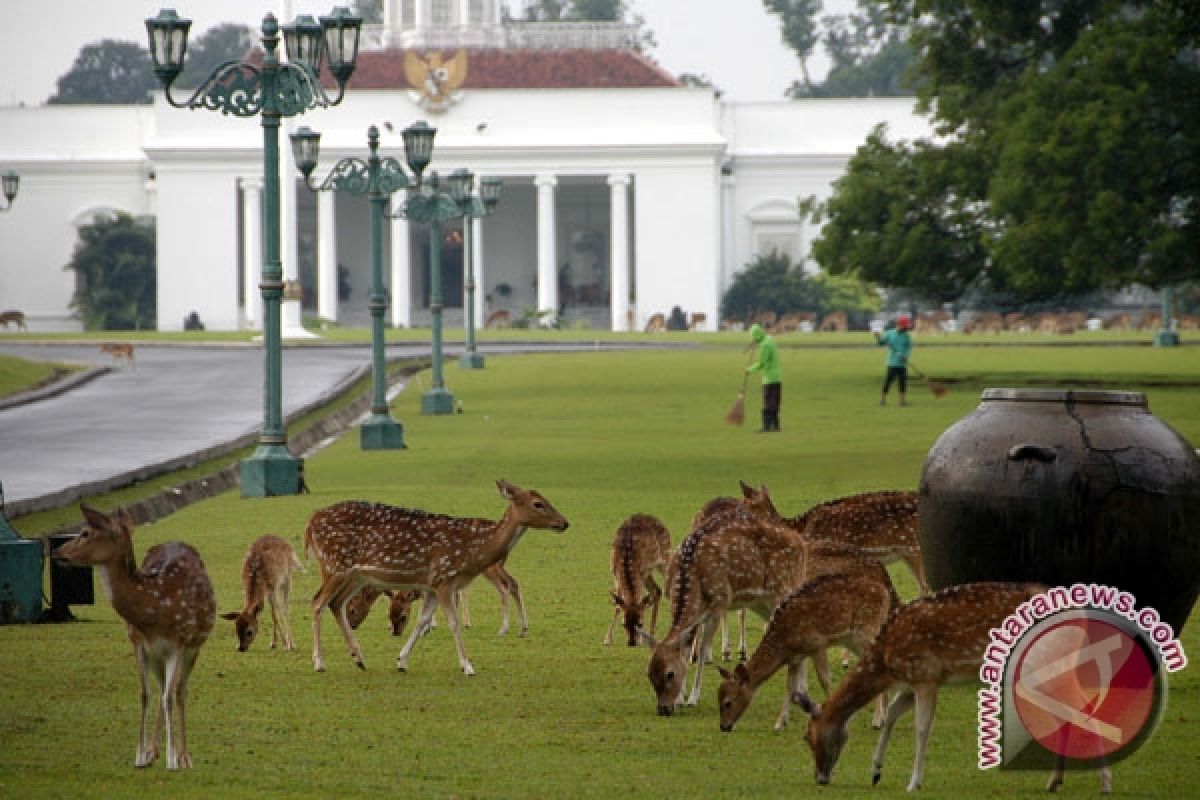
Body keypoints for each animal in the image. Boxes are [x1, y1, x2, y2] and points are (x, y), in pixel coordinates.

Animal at [54, 506, 216, 767]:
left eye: (86, 532)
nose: (56, 550)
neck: (154, 610)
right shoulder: (138, 642)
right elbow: (145, 694)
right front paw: (141, 755)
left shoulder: (179, 641)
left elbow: (170, 696)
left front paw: (174, 759)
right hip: (159, 656)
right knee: (163, 690)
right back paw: (153, 752)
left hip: (194, 645)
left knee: (179, 692)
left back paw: (184, 756)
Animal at [304, 482, 566, 676]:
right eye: (538, 503)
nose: (564, 523)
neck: (474, 551)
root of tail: (310, 521)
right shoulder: (444, 578)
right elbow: (453, 622)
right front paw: (468, 666)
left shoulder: (430, 586)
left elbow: (422, 621)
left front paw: (401, 661)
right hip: (334, 565)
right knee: (317, 602)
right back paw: (319, 663)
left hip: (356, 575)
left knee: (335, 603)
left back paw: (359, 658)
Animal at [604, 513, 672, 652]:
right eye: (624, 623)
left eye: (640, 623)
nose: (632, 643)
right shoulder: (615, 575)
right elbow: (617, 605)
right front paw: (607, 639)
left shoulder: (642, 573)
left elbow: (641, 601)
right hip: (648, 573)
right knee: (657, 591)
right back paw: (650, 635)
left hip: (665, 558)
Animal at [710, 568, 902, 734]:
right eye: (717, 697)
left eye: (728, 702)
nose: (723, 726)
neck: (785, 640)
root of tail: (885, 593)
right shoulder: (795, 657)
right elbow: (790, 686)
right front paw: (779, 723)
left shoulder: (818, 643)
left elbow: (825, 680)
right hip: (854, 640)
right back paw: (883, 717)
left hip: (867, 630)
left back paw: (877, 720)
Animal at [796, 582, 1113, 796]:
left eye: (808, 737)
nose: (820, 778)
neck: (885, 660)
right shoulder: (914, 680)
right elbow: (892, 715)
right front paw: (875, 771)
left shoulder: (925, 674)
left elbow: (922, 728)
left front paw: (914, 782)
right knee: (1068, 712)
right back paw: (1054, 782)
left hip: (1048, 660)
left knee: (1084, 709)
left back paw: (1105, 784)